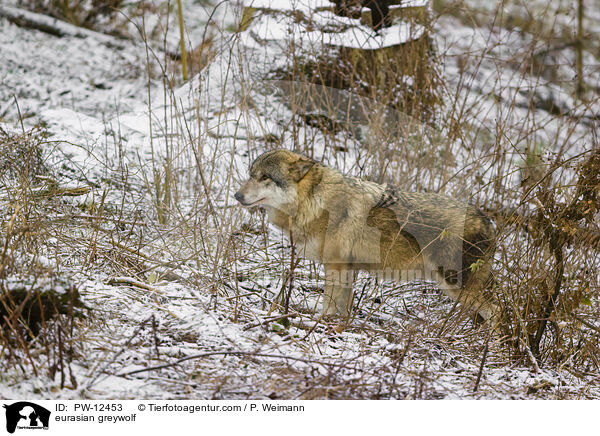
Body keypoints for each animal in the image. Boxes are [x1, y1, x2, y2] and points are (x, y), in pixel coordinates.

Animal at [234, 149, 496, 324]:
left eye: (265, 177)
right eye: (251, 174)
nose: (237, 195)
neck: (315, 202)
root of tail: (488, 221)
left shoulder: (335, 266)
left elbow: (329, 303)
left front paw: (321, 323)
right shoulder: (347, 268)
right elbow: (343, 307)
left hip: (456, 286)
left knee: (497, 312)